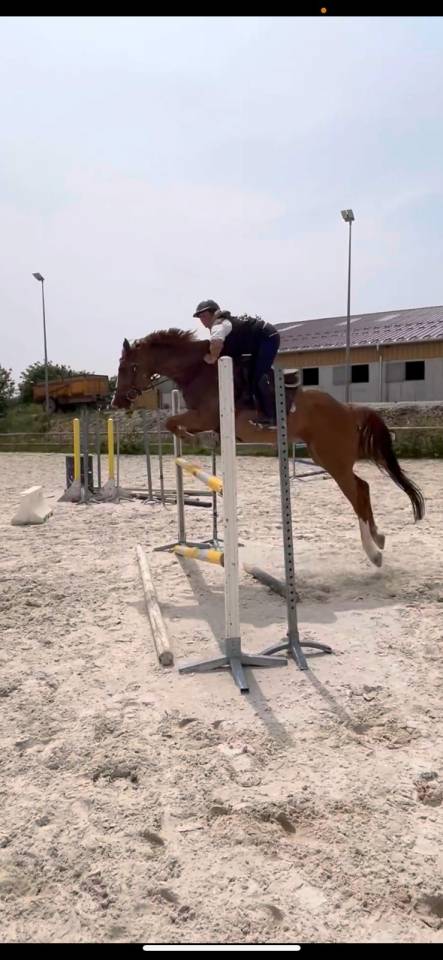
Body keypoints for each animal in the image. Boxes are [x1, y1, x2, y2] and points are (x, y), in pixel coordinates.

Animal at [112, 329, 425, 568]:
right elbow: (172, 423)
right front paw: (199, 440)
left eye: (127, 368)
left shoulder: (205, 416)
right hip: (326, 457)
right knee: (364, 487)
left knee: (357, 495)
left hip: (333, 460)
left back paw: (373, 553)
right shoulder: (204, 419)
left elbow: (171, 422)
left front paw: (196, 441)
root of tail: (348, 409)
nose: (117, 402)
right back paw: (379, 536)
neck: (198, 371)